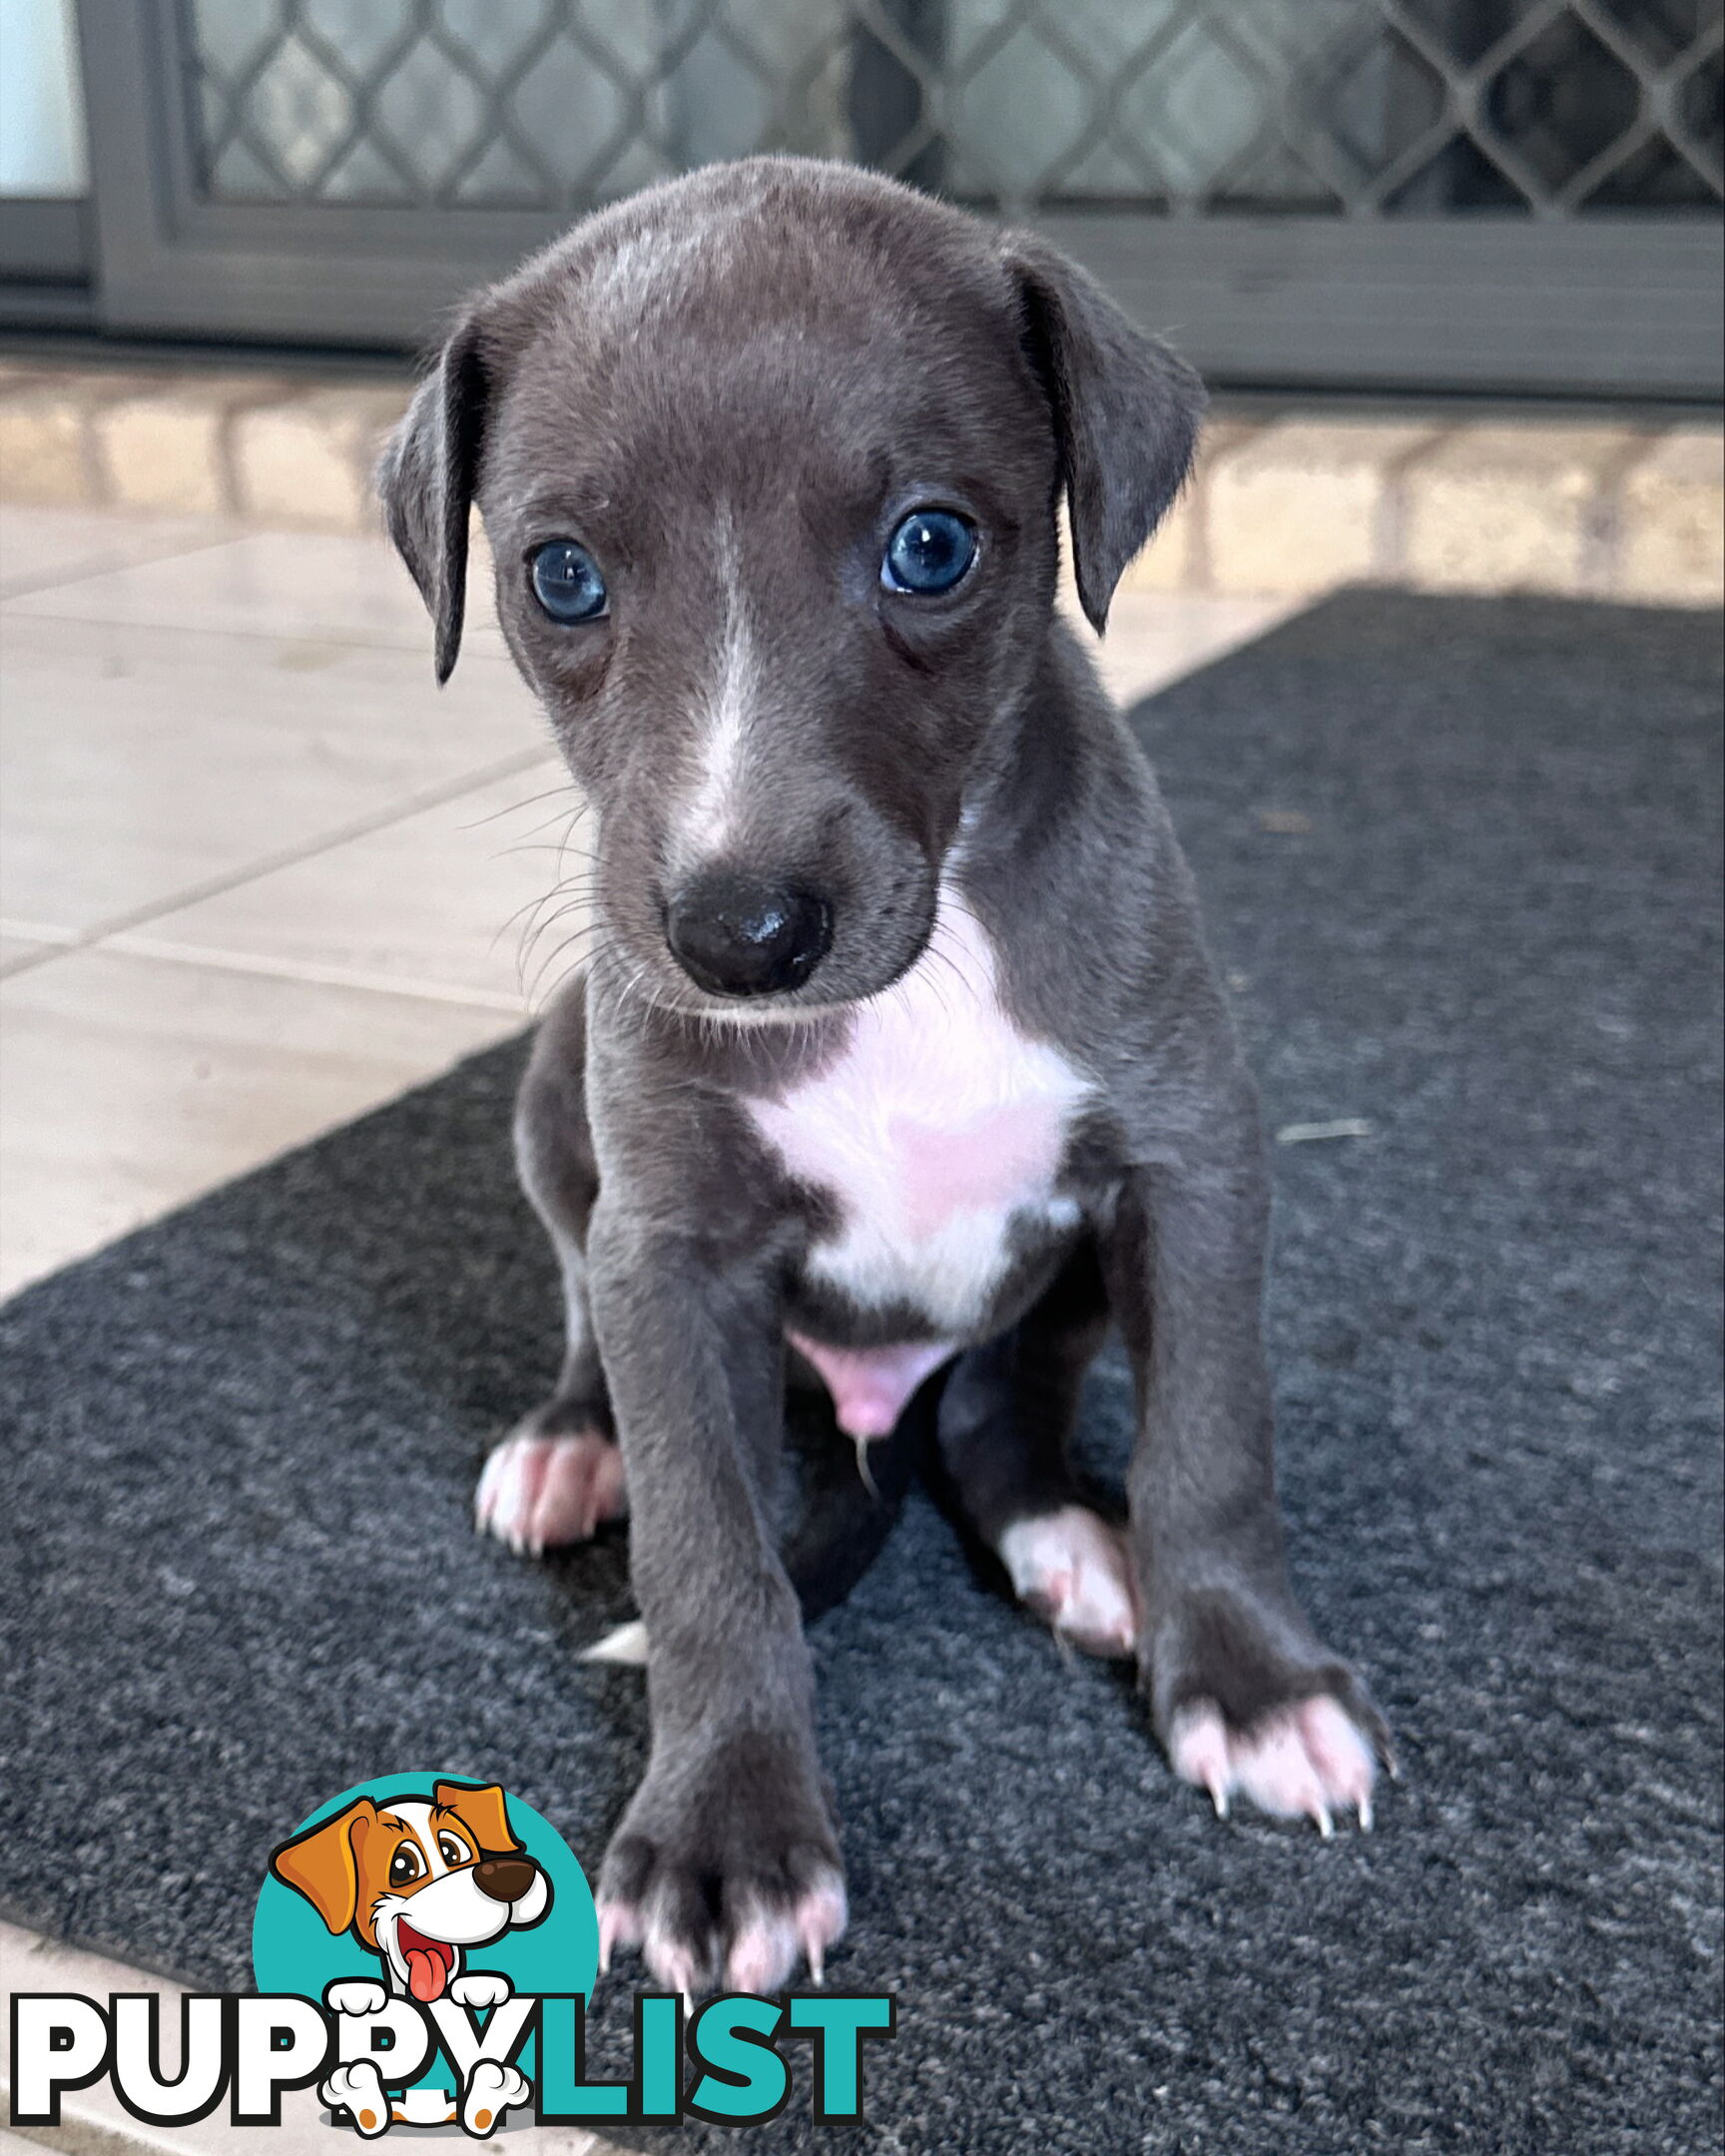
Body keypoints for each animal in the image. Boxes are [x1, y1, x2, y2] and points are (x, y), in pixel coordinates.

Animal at [372, 159, 1389, 1991]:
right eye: (561, 576)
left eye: (932, 545)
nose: (738, 934)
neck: (915, 986)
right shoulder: (671, 1252)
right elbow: (711, 1555)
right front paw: (724, 1835)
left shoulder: (1191, 1165)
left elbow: (1212, 1443)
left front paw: (1251, 1687)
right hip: (559, 1095)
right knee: (589, 1323)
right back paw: (570, 1445)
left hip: (1054, 1288)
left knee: (998, 1411)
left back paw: (1077, 1547)